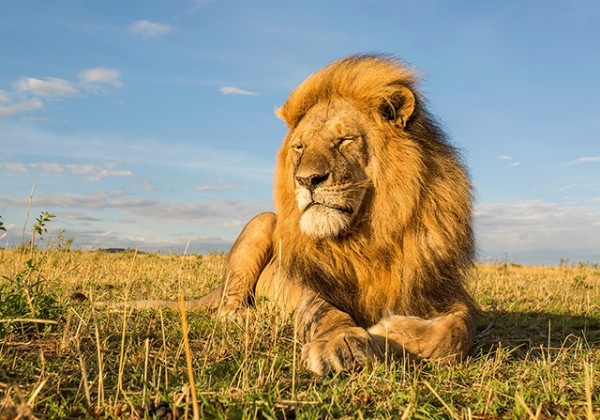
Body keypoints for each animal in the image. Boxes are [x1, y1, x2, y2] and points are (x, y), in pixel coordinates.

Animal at [117, 53, 478, 374]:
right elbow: (323, 311)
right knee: (226, 306)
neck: (365, 237)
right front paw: (341, 344)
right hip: (263, 223)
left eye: (345, 139)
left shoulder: (440, 286)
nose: (306, 180)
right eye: (300, 147)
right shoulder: (302, 281)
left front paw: (391, 331)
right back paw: (249, 315)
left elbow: (459, 330)